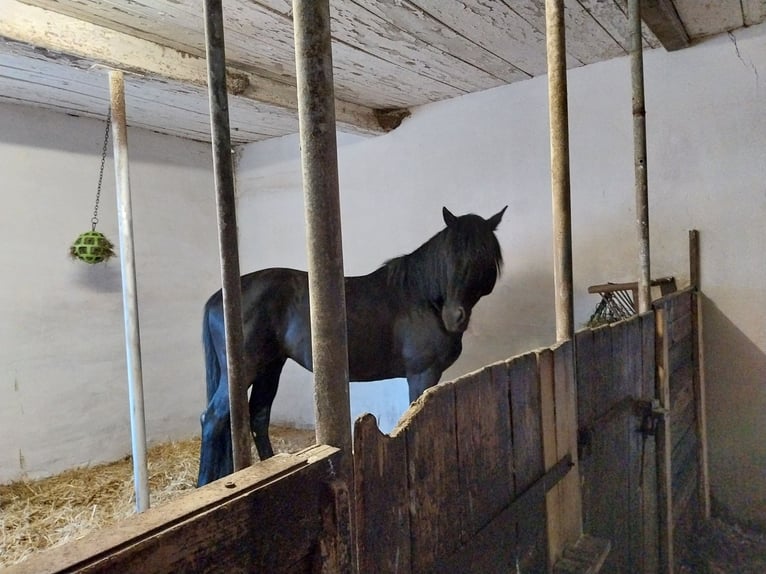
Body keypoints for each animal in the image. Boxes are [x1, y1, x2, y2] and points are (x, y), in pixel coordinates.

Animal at [201, 207, 508, 486]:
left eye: (482, 257)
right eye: (449, 256)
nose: (454, 318)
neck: (421, 299)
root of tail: (219, 298)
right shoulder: (423, 374)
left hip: (270, 367)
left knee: (258, 415)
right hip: (246, 370)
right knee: (213, 418)